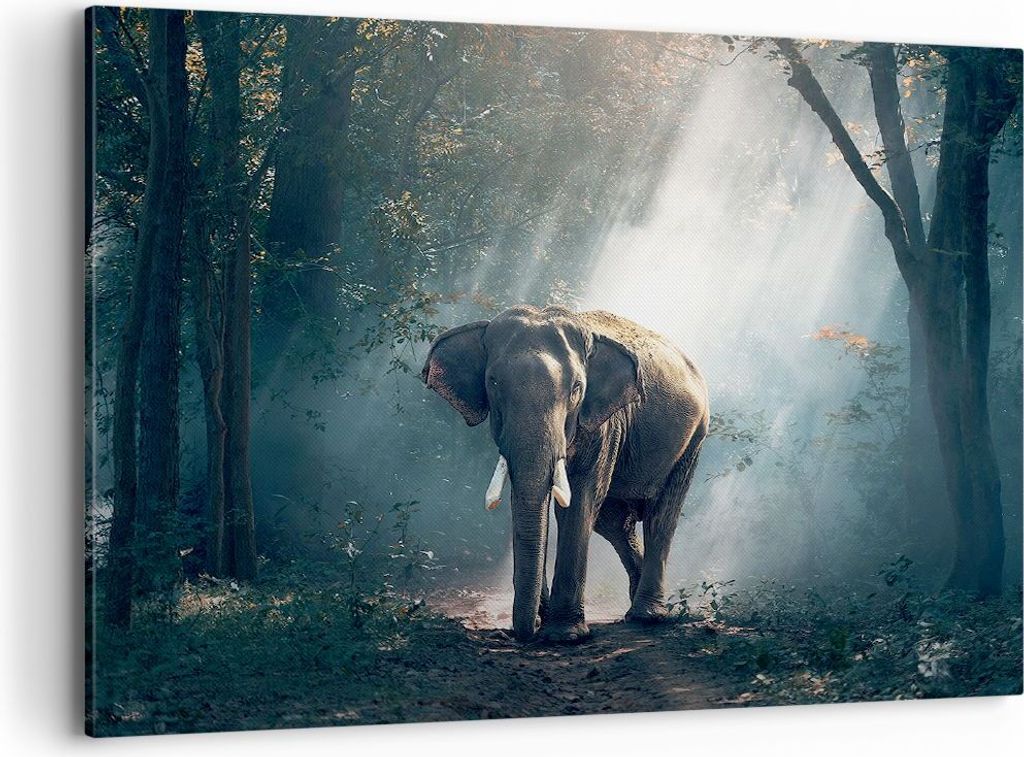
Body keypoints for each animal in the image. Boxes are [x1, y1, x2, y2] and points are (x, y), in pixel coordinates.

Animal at [421, 305, 709, 642]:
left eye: (577, 388)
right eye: (492, 382)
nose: (525, 632)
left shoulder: (602, 423)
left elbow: (580, 500)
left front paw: (563, 635)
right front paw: (544, 622)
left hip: (694, 438)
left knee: (660, 517)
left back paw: (647, 616)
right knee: (614, 523)